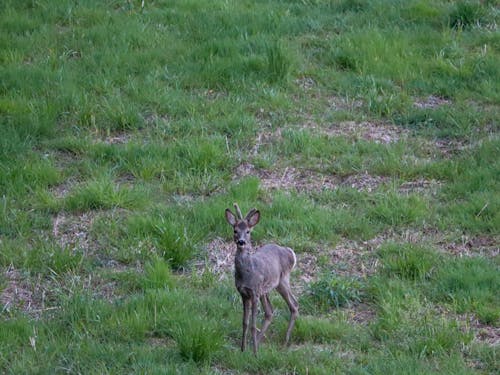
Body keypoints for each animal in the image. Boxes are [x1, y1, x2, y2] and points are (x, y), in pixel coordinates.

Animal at [225, 204, 298, 356]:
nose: (241, 242)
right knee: (270, 312)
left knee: (294, 305)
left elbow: (253, 325)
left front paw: (255, 354)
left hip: (282, 280)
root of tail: (290, 253)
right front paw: (243, 349)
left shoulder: (254, 292)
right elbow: (245, 323)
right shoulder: (243, 293)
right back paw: (256, 342)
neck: (247, 273)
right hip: (265, 290)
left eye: (248, 231)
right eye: (235, 230)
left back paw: (284, 342)